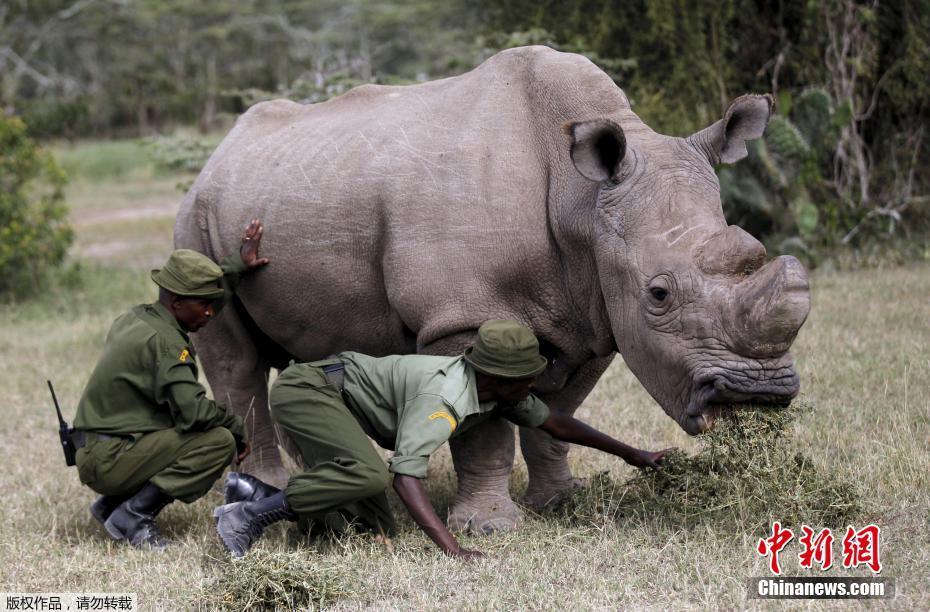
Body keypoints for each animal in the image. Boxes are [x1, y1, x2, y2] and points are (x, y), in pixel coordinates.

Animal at [178, 45, 808, 532]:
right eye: (659, 294)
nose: (757, 394)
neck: (581, 199)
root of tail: (219, 152)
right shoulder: (462, 316)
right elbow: (483, 431)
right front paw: (490, 528)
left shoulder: (591, 314)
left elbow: (557, 412)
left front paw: (559, 502)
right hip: (198, 219)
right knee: (235, 360)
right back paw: (261, 491)